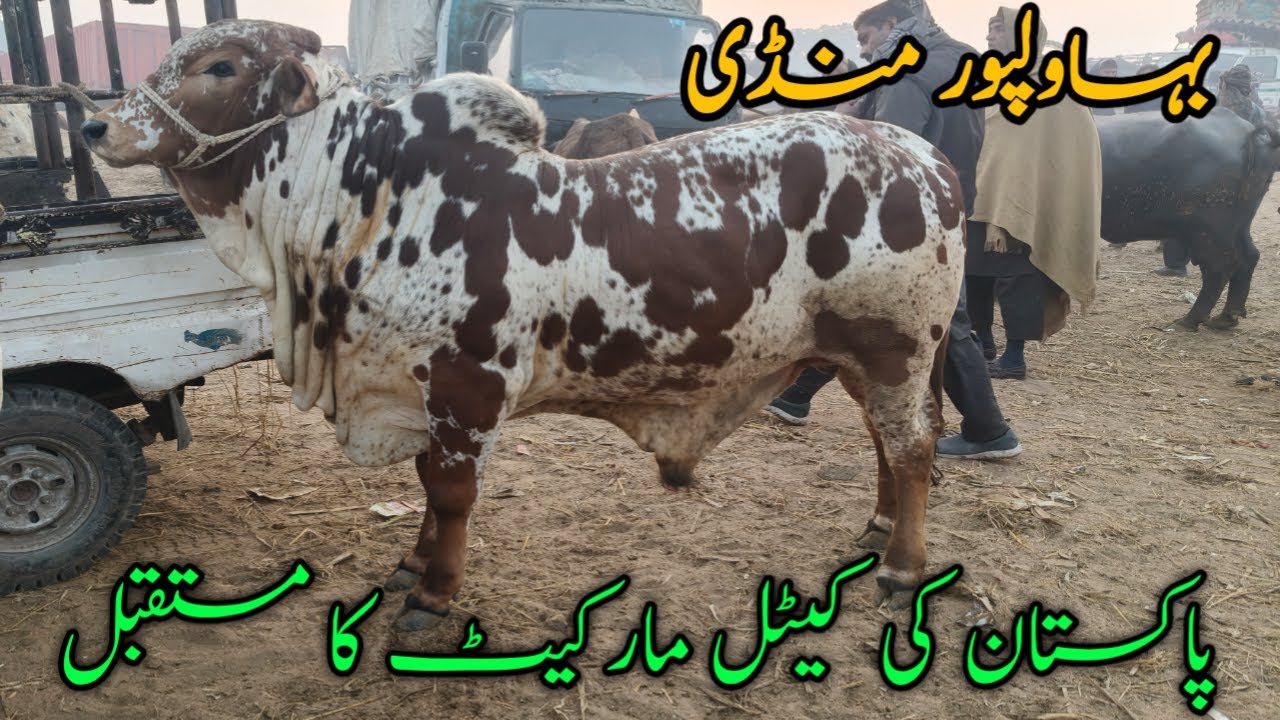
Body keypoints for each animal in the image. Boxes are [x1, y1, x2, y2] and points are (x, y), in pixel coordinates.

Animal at [81, 20, 966, 630]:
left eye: (219, 66)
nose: (97, 127)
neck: (370, 198)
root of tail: (921, 153)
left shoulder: (467, 388)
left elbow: (451, 493)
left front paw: (434, 594)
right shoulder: (416, 390)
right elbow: (423, 486)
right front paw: (412, 565)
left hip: (895, 347)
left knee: (914, 446)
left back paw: (902, 567)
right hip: (858, 357)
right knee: (888, 440)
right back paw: (879, 527)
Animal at [1097, 108, 1280, 330]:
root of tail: (1246, 131)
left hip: (1209, 230)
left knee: (1219, 268)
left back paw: (1191, 319)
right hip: (1238, 225)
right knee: (1248, 257)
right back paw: (1226, 317)